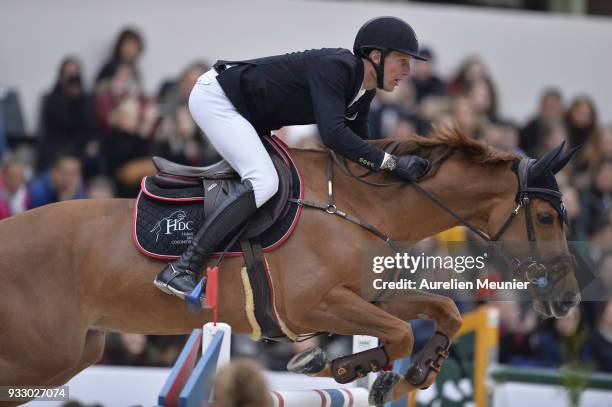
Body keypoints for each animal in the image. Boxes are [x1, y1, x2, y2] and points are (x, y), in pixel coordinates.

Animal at [0, 126, 580, 404]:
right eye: (546, 217)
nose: (569, 298)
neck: (362, 207)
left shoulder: (365, 296)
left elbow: (443, 311)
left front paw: (414, 373)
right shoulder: (314, 305)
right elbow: (396, 334)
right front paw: (341, 368)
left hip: (72, 354)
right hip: (43, 357)